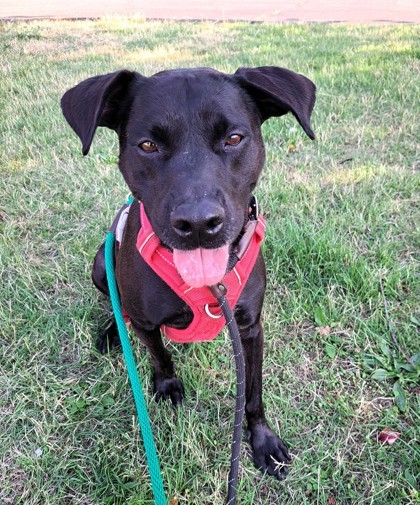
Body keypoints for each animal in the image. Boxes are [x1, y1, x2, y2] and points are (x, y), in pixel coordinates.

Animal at [60, 65, 314, 478]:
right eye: (148, 145)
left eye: (233, 138)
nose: (198, 223)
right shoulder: (145, 322)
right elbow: (159, 355)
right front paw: (167, 386)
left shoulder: (250, 328)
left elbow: (253, 392)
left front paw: (262, 441)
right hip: (101, 263)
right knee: (114, 300)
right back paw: (113, 329)